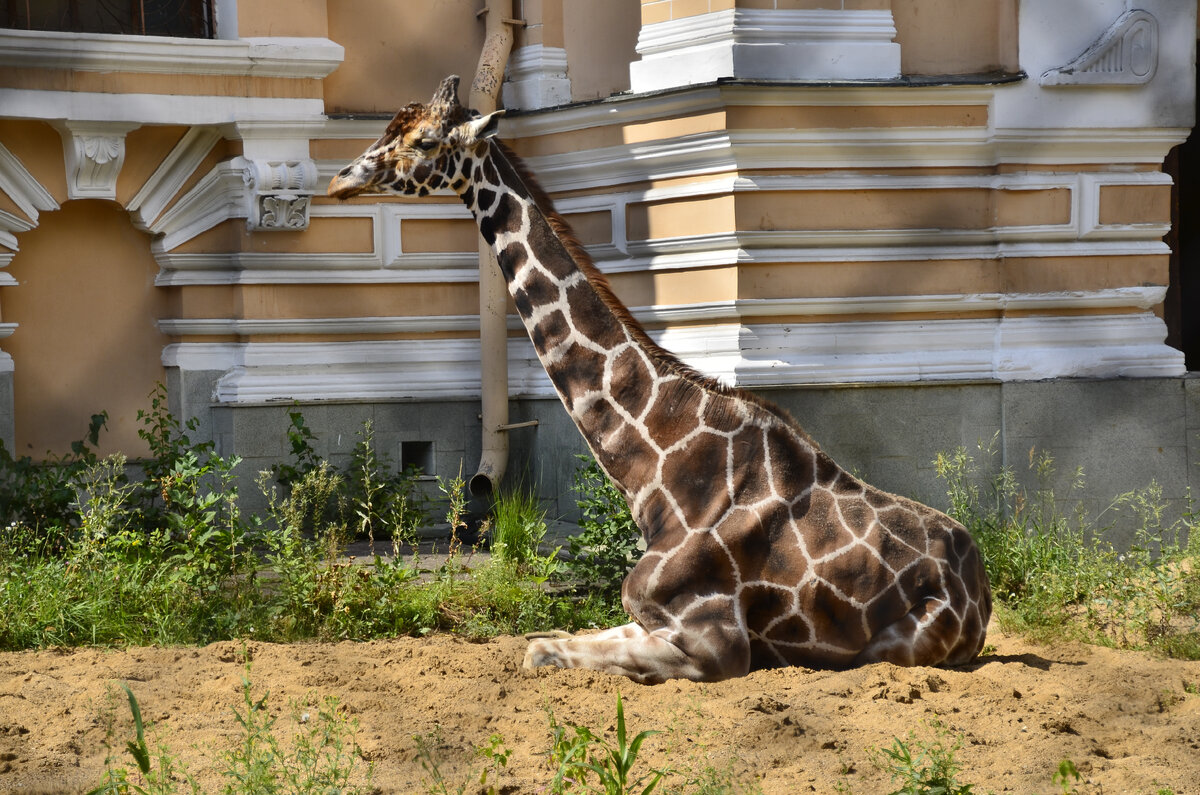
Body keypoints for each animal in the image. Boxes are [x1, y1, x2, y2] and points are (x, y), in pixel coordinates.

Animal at [328, 74, 993, 686]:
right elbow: (541, 642)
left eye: (424, 140)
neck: (654, 469)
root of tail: (982, 589)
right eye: (388, 128)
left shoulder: (715, 645)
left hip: (898, 647)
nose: (339, 180)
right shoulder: (644, 616)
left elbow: (543, 652)